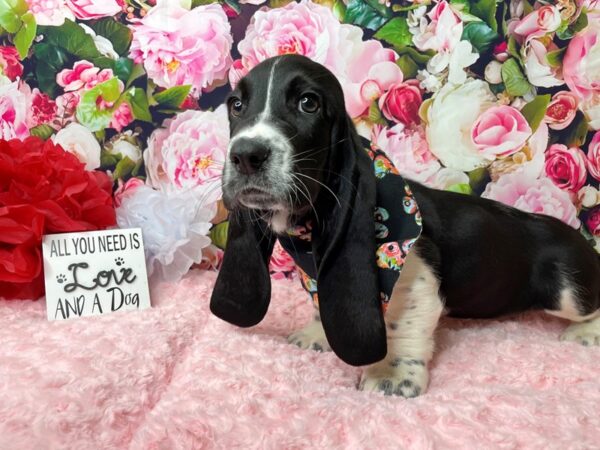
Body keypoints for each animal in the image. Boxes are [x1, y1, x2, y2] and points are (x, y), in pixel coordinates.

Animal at [210, 53, 600, 398]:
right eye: (236, 104)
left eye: (309, 103)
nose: (246, 155)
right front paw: (318, 335)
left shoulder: (415, 277)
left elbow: (401, 325)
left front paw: (393, 375)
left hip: (568, 292)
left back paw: (587, 334)